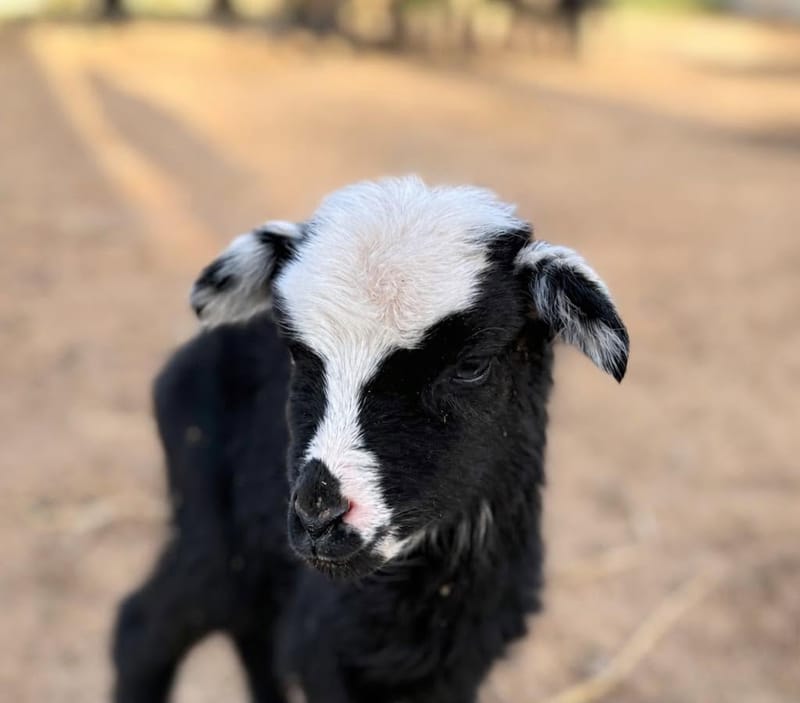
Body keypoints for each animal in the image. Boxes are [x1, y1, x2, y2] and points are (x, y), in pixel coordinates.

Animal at [112, 176, 629, 703]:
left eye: (471, 365)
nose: (319, 516)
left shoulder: (466, 659)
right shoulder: (326, 650)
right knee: (144, 628)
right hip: (210, 527)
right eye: (296, 354)